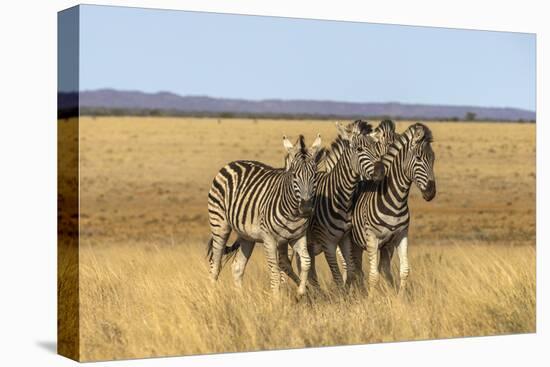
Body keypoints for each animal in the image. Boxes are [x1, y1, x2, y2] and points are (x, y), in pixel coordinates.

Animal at [209, 134, 326, 296]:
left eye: (314, 175)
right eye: (294, 175)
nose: (306, 208)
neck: (293, 213)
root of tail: (231, 163)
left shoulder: (297, 237)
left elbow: (306, 262)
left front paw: (301, 292)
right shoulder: (269, 239)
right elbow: (275, 271)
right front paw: (276, 299)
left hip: (247, 236)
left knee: (237, 267)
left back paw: (241, 299)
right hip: (219, 225)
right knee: (215, 263)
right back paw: (212, 296)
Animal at [348, 122, 438, 294]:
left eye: (433, 158)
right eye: (418, 158)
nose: (431, 192)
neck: (396, 201)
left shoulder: (400, 236)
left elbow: (404, 271)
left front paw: (399, 298)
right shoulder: (372, 238)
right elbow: (373, 276)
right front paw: (371, 299)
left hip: (371, 246)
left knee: (364, 268)